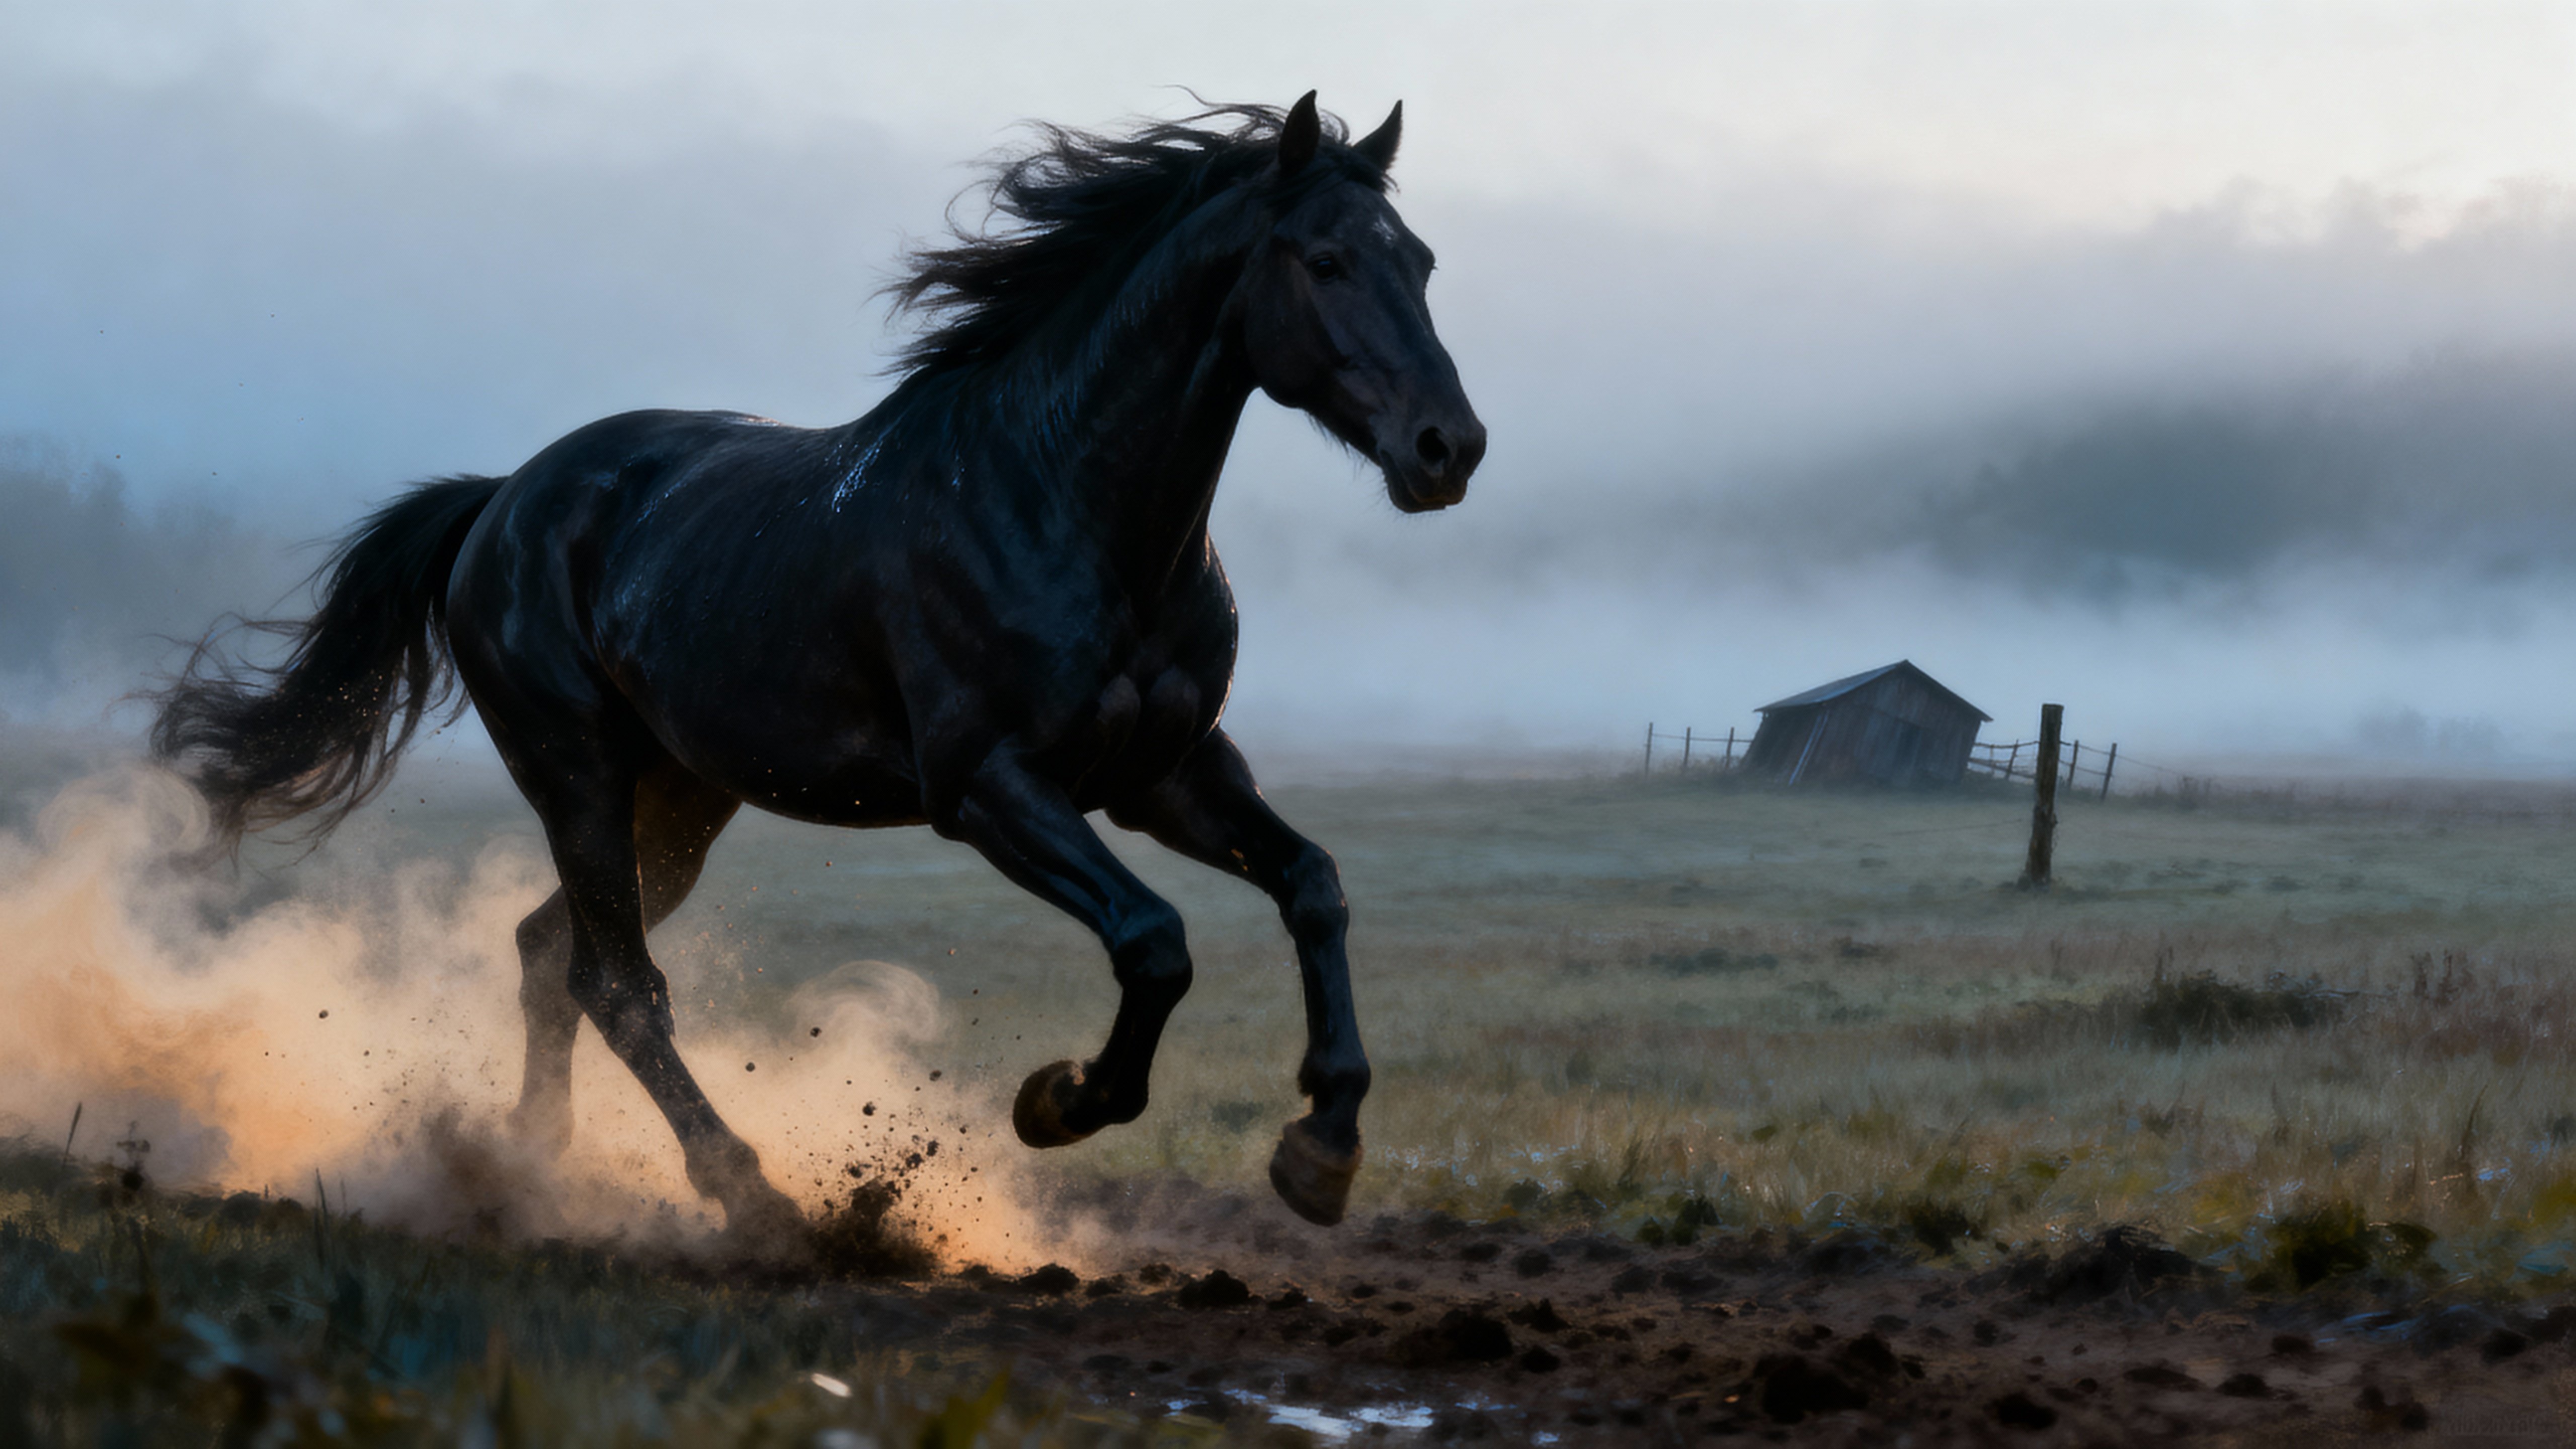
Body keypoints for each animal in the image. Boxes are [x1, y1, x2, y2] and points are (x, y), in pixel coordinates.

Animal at [151, 93, 1485, 1243]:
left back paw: (529, 1172)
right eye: (1324, 261)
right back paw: (748, 1194)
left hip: (680, 799)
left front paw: (1320, 1149)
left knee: (549, 957)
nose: (1448, 448)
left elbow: (1312, 885)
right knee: (619, 982)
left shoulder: (1167, 774)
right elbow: (1155, 941)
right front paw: (1058, 1101)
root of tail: (500, 502)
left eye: (1420, 261)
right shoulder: (990, 788)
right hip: (575, 774)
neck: (1066, 504)